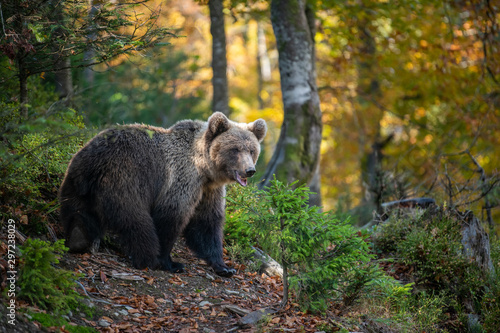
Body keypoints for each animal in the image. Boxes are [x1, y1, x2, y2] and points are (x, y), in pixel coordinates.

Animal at [59, 113, 266, 276]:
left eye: (251, 150)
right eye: (235, 149)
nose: (250, 170)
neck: (205, 169)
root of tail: (95, 164)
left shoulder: (208, 190)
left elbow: (206, 223)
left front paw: (224, 267)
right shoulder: (181, 179)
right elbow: (170, 218)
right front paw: (170, 262)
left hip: (76, 181)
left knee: (77, 212)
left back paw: (78, 238)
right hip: (125, 180)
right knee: (136, 221)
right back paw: (148, 258)